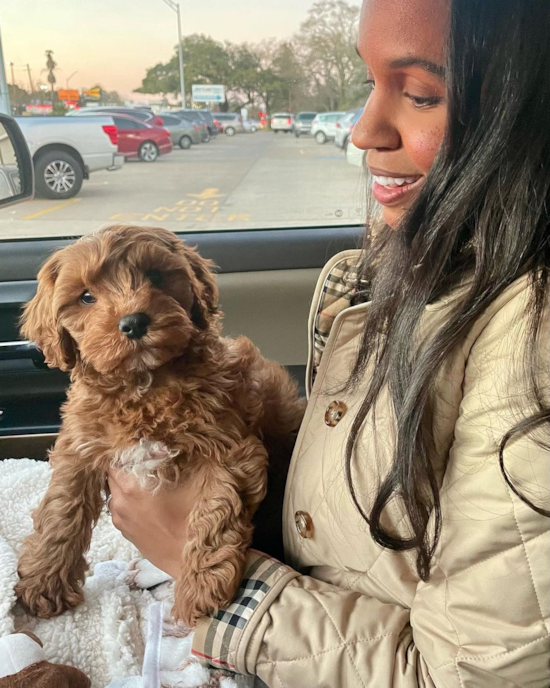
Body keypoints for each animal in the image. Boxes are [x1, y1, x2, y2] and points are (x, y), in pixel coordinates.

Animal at [16, 226, 306, 628]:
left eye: (155, 276)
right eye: (86, 296)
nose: (134, 322)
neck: (144, 385)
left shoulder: (229, 445)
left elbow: (215, 508)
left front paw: (201, 586)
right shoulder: (81, 446)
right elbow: (61, 509)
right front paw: (43, 582)